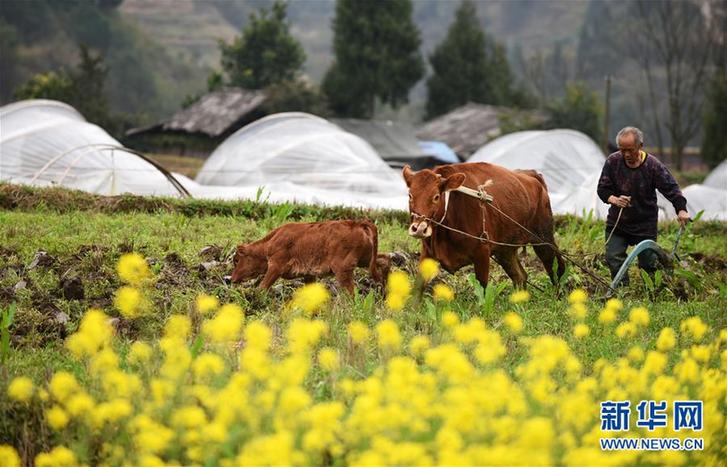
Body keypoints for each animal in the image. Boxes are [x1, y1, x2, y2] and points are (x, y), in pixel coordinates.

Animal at [232, 221, 390, 294]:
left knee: (351, 292)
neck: (269, 244)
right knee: (385, 259)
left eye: (236, 260)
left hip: (343, 269)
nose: (232, 279)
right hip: (366, 260)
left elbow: (263, 286)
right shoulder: (309, 275)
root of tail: (358, 223)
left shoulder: (275, 267)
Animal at [406, 164, 564, 288]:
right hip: (504, 250)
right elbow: (418, 288)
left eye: (436, 197)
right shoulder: (427, 253)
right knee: (520, 276)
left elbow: (482, 289)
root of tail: (531, 174)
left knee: (556, 267)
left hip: (544, 239)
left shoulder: (482, 252)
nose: (419, 228)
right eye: (410, 195)